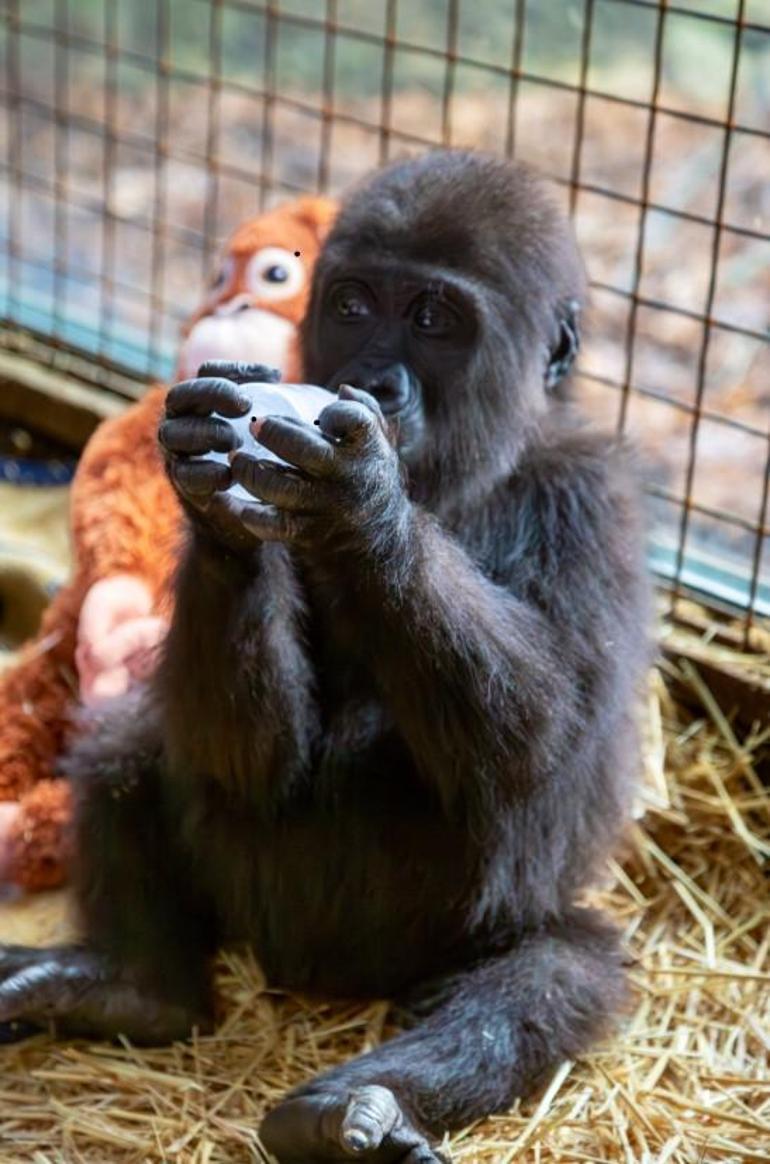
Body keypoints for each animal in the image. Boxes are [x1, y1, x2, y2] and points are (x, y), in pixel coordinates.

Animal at [0, 154, 651, 1164]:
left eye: (433, 319)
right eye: (350, 305)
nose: (373, 380)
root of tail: (311, 979)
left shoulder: (592, 501)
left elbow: (540, 745)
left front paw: (364, 504)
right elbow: (246, 756)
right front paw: (214, 501)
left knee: (556, 972)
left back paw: (356, 1107)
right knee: (127, 752)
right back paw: (132, 989)